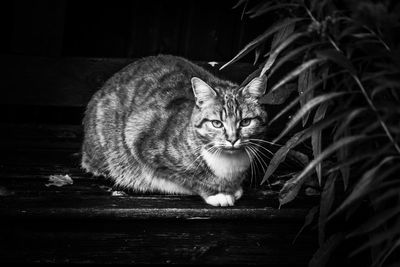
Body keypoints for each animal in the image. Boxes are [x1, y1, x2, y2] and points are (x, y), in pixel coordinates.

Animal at [80, 55, 268, 207]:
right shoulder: (140, 140)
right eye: (217, 123)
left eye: (245, 122)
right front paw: (217, 193)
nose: (232, 139)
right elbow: (189, 178)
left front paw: (234, 188)